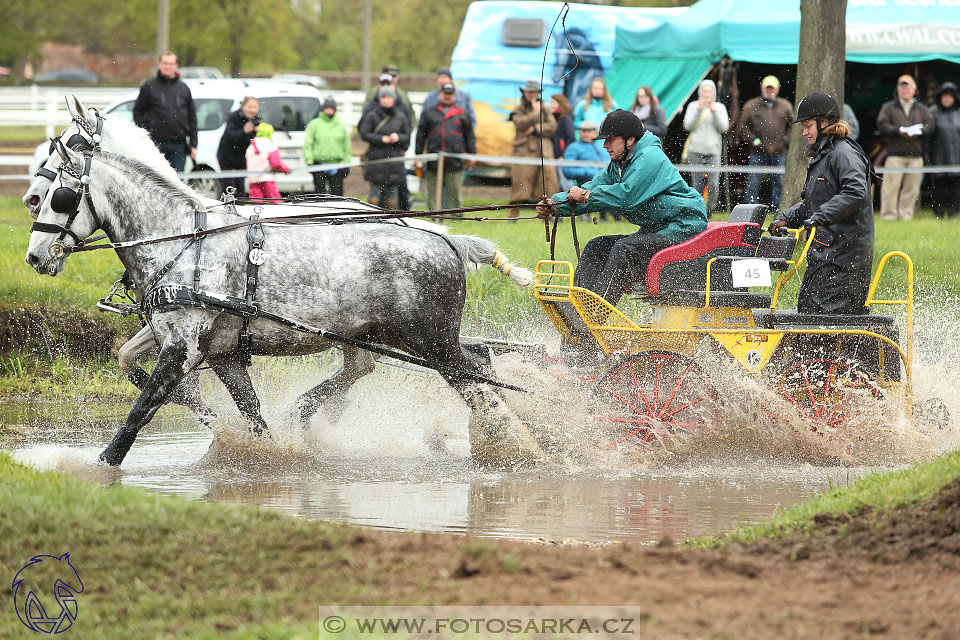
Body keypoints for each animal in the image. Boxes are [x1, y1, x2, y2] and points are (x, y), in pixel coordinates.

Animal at [26, 141, 544, 464]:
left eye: (60, 196)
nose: (35, 256)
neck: (186, 241)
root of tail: (446, 239)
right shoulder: (221, 353)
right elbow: (250, 415)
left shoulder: (182, 348)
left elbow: (140, 410)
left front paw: (102, 463)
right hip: (391, 337)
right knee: (473, 363)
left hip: (429, 341)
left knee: (475, 378)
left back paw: (519, 443)